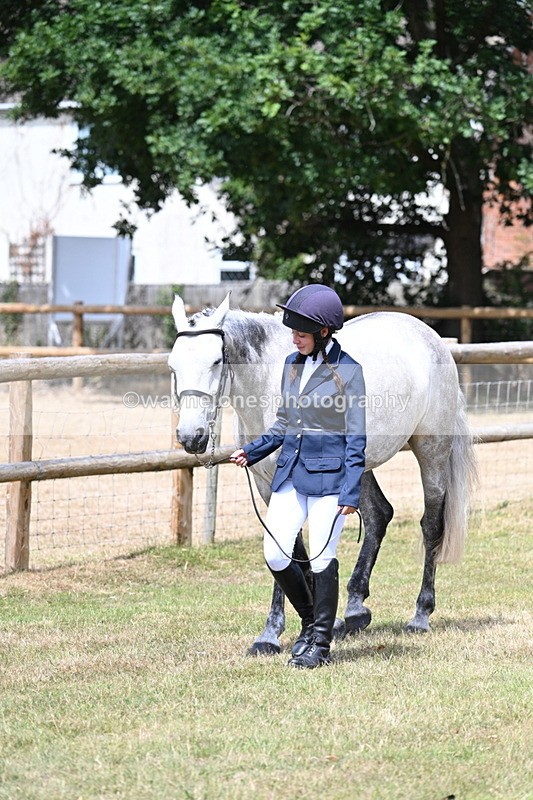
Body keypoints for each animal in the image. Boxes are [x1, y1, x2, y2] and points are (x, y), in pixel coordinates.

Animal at [168, 293, 476, 655]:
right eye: (173, 366)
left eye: (216, 361)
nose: (192, 437)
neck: (270, 384)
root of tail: (430, 338)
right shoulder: (268, 486)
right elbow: (292, 552)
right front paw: (278, 632)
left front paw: (299, 629)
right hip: (359, 467)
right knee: (378, 515)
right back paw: (355, 610)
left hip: (432, 451)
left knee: (430, 526)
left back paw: (420, 615)